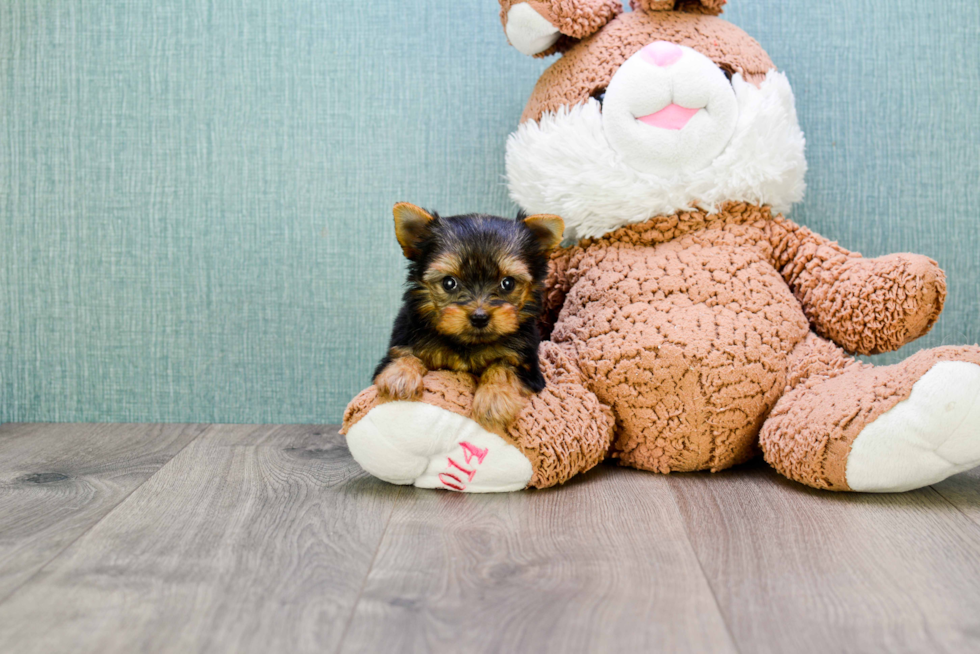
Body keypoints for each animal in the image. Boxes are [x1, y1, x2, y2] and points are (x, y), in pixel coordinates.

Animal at [372, 202, 564, 434]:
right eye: (449, 283)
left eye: (507, 283)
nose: (479, 317)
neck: (469, 343)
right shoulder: (404, 336)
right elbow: (405, 354)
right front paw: (400, 376)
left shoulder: (529, 368)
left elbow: (503, 366)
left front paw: (494, 399)